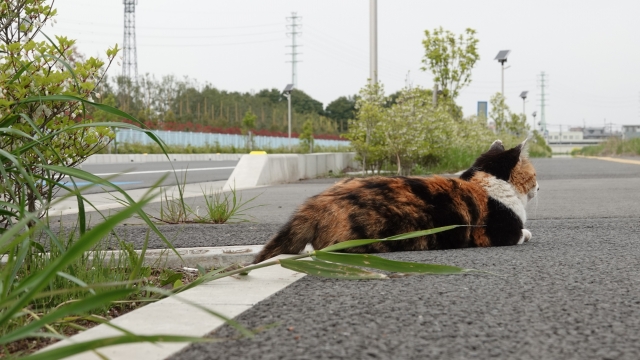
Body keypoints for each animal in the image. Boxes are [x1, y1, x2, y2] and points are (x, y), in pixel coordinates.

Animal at [252, 139, 536, 262]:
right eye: (534, 175)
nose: (540, 186)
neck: (484, 181)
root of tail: (317, 202)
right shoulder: (498, 233)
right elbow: (522, 232)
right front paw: (528, 232)